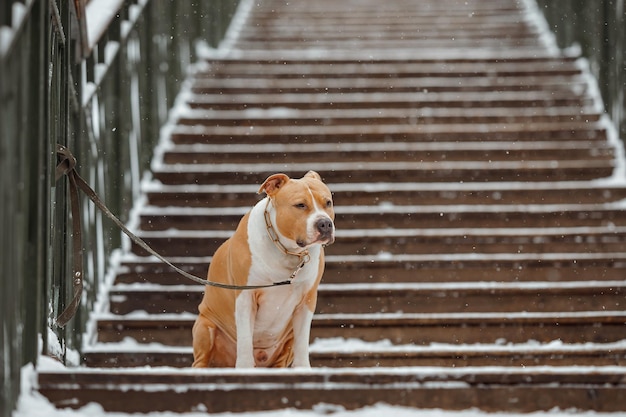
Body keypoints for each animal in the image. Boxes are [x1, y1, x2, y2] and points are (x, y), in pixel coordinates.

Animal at [193, 171, 334, 366]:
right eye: (300, 205)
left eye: (328, 203)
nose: (325, 223)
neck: (288, 250)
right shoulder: (246, 296)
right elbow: (245, 340)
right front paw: (245, 368)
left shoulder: (307, 300)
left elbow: (302, 342)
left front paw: (303, 368)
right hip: (205, 327)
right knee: (200, 360)